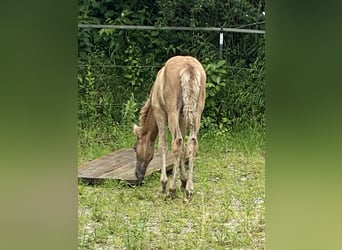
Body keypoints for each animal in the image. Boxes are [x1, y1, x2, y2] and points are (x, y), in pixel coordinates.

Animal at [133, 55, 206, 197]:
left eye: (134, 148)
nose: (137, 174)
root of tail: (189, 68)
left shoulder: (160, 113)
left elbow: (163, 145)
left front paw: (163, 184)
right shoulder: (182, 117)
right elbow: (184, 147)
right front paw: (183, 182)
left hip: (173, 111)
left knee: (176, 143)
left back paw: (171, 190)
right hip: (197, 112)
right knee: (192, 143)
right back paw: (189, 189)